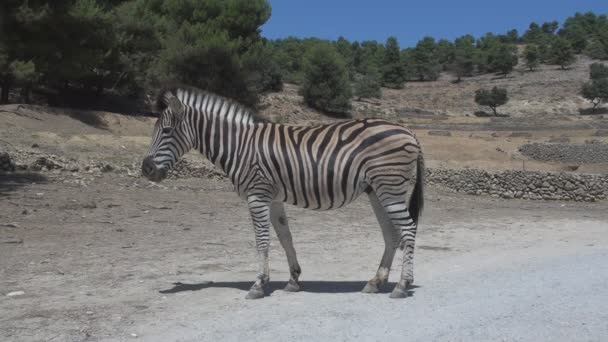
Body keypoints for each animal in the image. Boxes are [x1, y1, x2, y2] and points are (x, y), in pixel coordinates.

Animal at [141, 86, 422, 300]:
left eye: (166, 131)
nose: (146, 169)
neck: (239, 147)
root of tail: (409, 130)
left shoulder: (257, 196)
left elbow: (262, 241)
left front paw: (259, 284)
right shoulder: (273, 197)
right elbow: (286, 237)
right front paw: (293, 280)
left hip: (390, 187)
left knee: (408, 229)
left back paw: (401, 286)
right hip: (376, 191)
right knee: (391, 233)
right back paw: (376, 282)